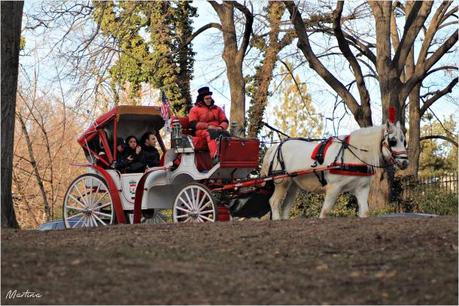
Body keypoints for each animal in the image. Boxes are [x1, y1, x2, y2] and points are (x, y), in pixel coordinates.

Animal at [262, 120, 410, 219]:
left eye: (404, 141)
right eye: (392, 141)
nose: (405, 162)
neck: (352, 155)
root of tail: (276, 146)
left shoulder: (361, 189)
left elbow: (365, 212)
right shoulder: (333, 188)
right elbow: (325, 212)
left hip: (293, 185)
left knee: (285, 207)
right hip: (282, 182)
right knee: (274, 202)